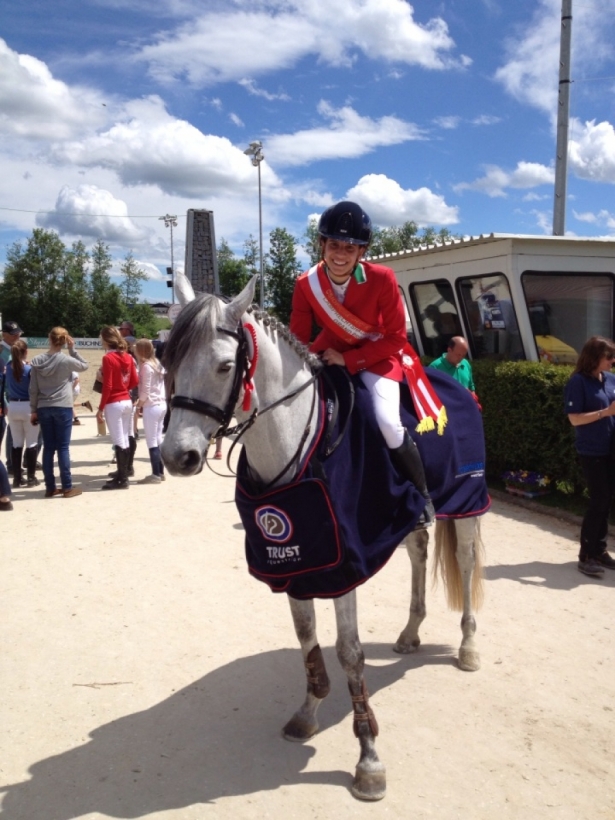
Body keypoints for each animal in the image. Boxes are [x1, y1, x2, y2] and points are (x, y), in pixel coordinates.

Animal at [162, 276, 486, 800]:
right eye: (168, 359)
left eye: (225, 365)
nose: (178, 456)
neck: (297, 447)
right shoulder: (294, 563)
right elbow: (307, 641)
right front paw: (308, 712)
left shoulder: (341, 567)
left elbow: (349, 654)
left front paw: (369, 759)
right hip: (414, 520)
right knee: (418, 554)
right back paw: (410, 632)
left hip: (468, 503)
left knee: (467, 558)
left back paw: (468, 647)